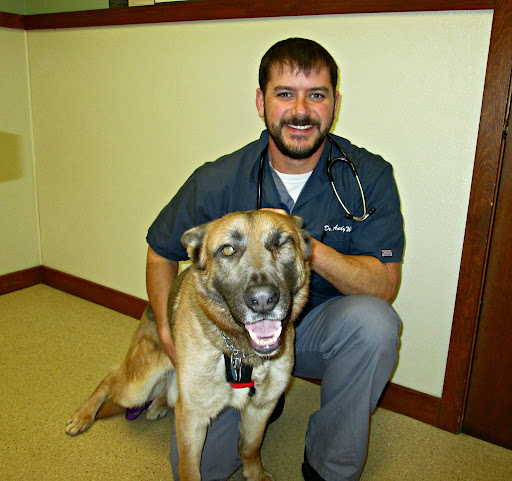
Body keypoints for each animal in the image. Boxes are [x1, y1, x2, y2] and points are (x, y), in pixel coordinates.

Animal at [66, 210, 310, 481]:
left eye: (280, 243)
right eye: (227, 250)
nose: (263, 300)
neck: (238, 352)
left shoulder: (261, 407)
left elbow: (250, 447)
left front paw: (254, 473)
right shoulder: (193, 418)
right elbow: (189, 468)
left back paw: (160, 404)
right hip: (138, 386)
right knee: (111, 377)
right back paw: (84, 414)